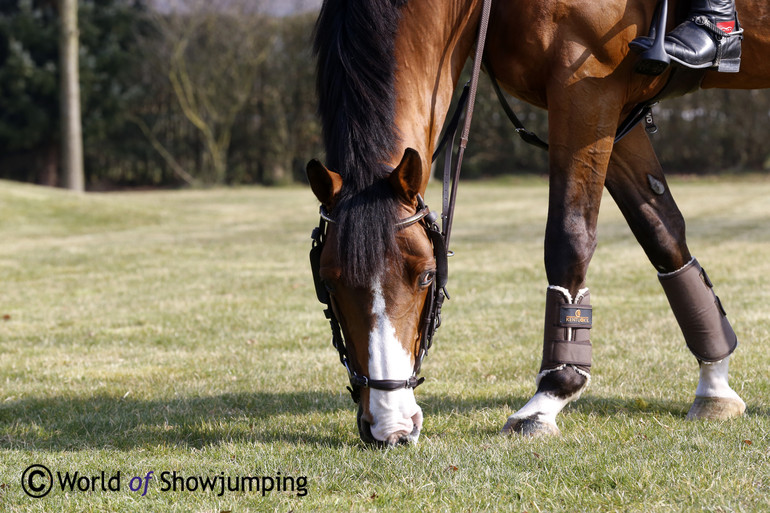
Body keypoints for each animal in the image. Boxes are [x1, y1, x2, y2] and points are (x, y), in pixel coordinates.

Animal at [304, 0, 760, 444]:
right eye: (328, 283)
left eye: (426, 277)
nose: (390, 428)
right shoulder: (617, 111)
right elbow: (663, 233)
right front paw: (714, 385)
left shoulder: (587, 86)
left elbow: (570, 236)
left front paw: (549, 397)